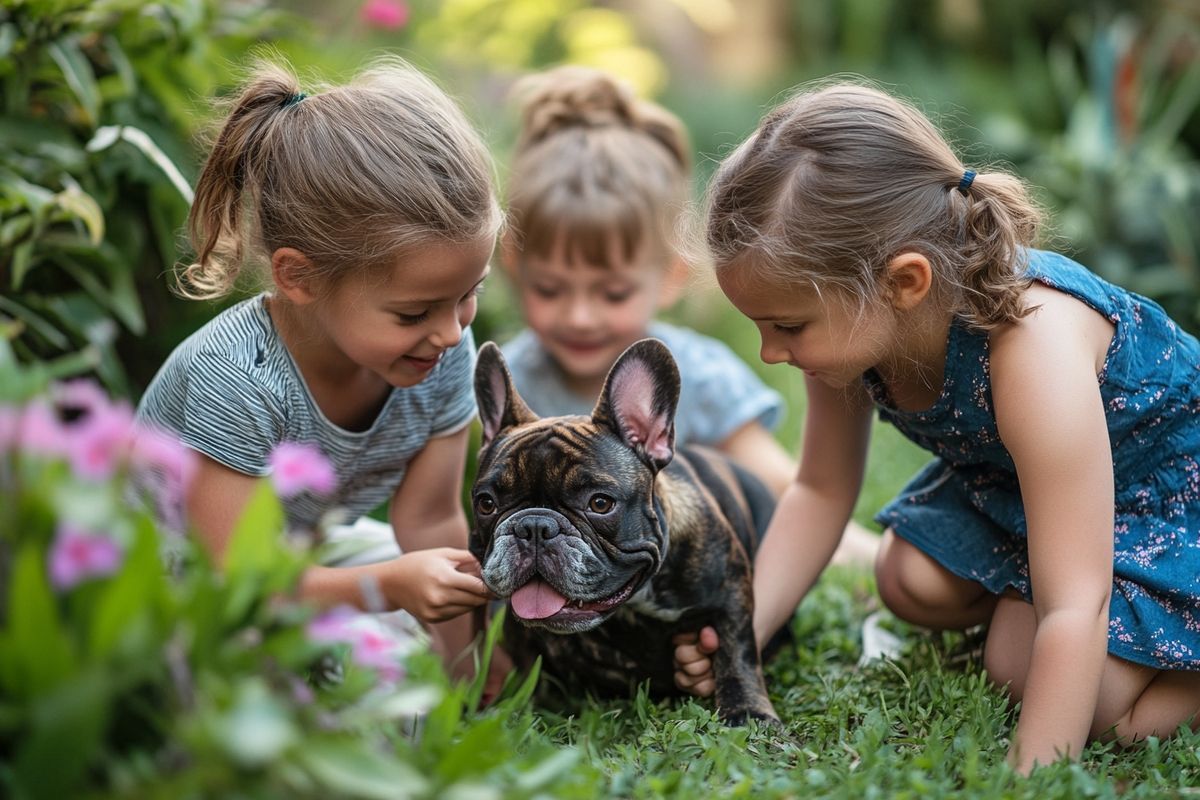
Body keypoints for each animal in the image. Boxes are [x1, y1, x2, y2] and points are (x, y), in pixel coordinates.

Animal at [468, 338, 777, 724]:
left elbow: (737, 653)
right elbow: (525, 667)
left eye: (600, 503)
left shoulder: (730, 593)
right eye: (486, 504)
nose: (534, 526)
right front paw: (513, 713)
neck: (633, 604)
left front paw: (748, 712)